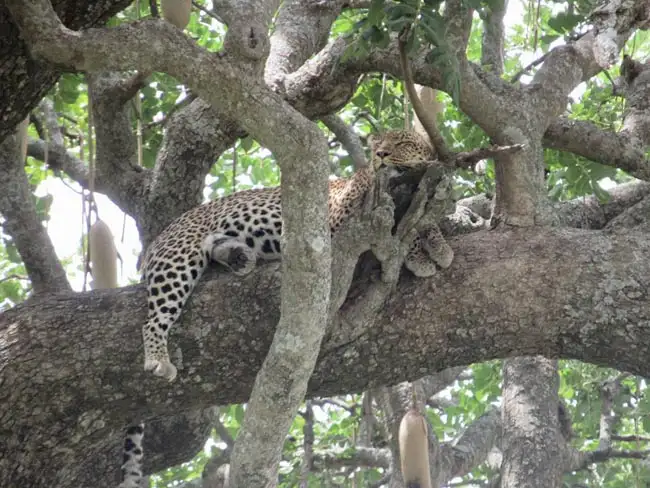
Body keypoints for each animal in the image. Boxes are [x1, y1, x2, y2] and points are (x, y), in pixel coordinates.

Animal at [138, 130, 450, 386]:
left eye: (403, 144)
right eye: (378, 146)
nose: (381, 155)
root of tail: (162, 233)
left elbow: (424, 222)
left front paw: (439, 247)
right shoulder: (341, 220)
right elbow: (402, 231)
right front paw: (423, 257)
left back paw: (240, 256)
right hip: (177, 257)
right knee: (153, 320)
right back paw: (158, 360)